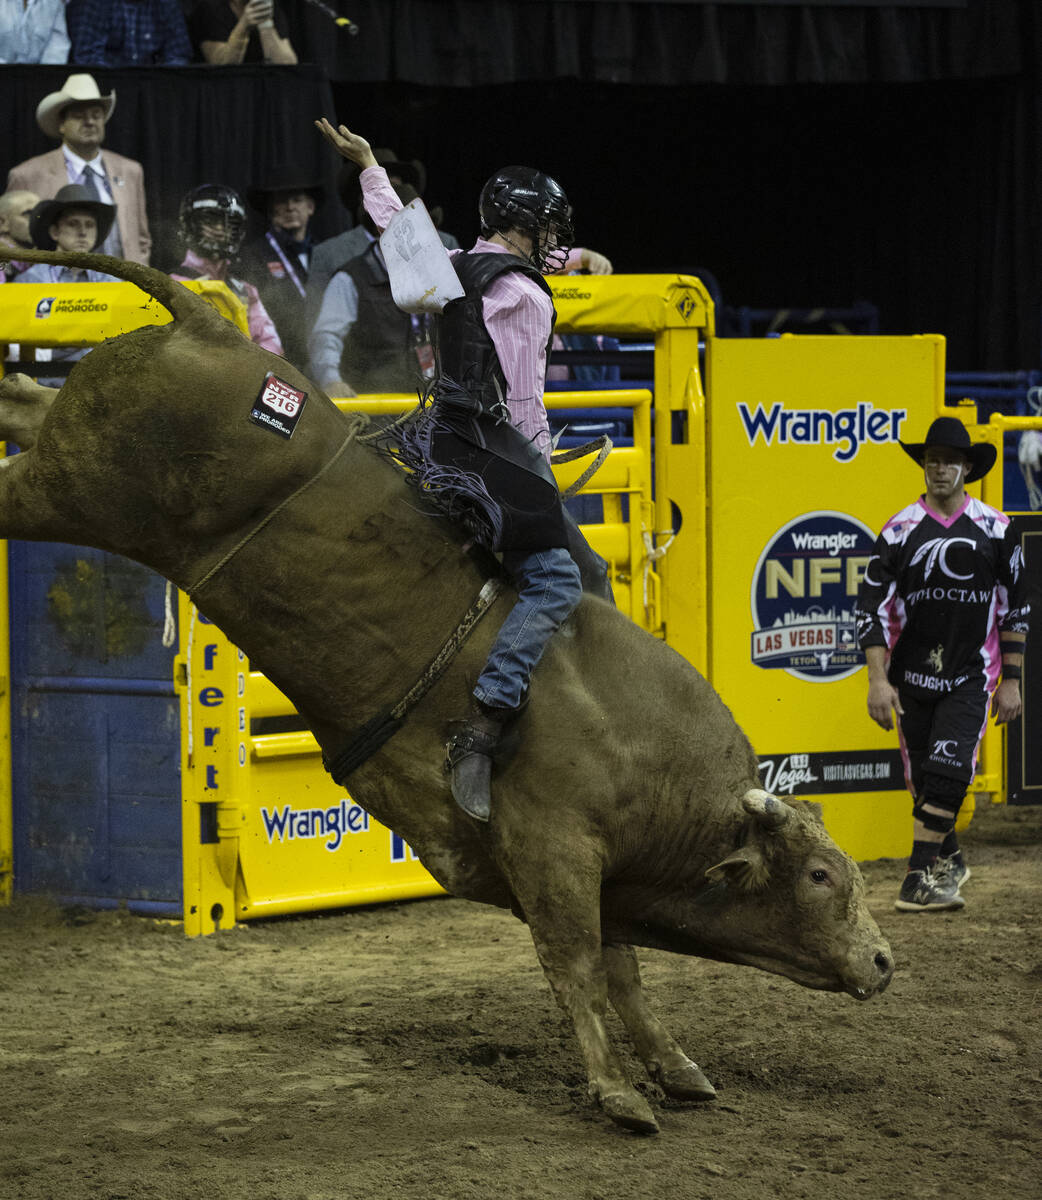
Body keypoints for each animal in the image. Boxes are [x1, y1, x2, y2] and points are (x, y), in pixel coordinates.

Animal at [2, 250, 893, 1132]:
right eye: (820, 877)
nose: (884, 960)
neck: (647, 760)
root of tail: (206, 326)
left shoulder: (601, 873)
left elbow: (624, 972)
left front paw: (677, 1069)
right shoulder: (555, 849)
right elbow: (578, 966)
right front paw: (617, 1092)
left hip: (69, 463)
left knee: (23, 407)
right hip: (69, 488)